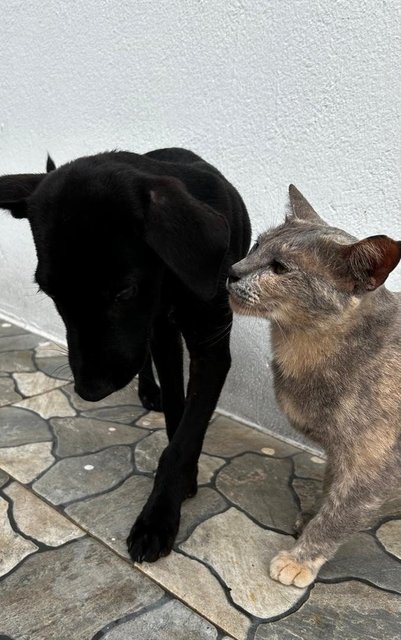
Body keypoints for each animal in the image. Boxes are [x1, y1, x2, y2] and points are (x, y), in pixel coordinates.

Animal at [0, 150, 250, 560]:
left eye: (124, 292)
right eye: (49, 292)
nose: (90, 391)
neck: (173, 273)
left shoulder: (211, 346)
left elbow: (187, 431)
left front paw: (158, 516)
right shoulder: (163, 331)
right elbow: (177, 416)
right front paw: (180, 484)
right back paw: (148, 390)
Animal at [227, 184, 398, 584]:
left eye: (280, 268)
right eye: (257, 245)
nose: (232, 270)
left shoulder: (373, 468)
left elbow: (338, 516)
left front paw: (300, 559)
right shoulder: (338, 452)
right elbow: (328, 491)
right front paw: (309, 518)